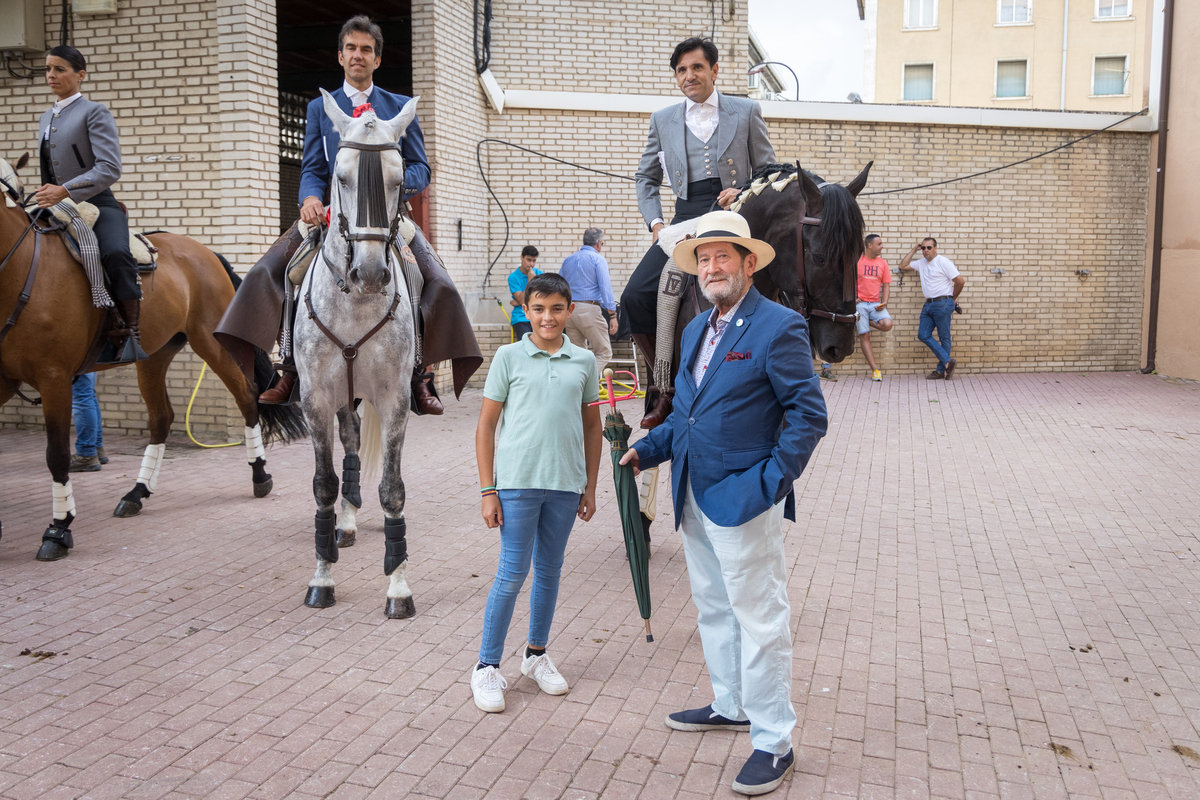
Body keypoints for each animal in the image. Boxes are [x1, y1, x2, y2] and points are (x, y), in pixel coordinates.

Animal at [0, 154, 304, 563]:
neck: (19, 271)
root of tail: (202, 250)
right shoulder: (3, 381)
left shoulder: (54, 378)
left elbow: (57, 455)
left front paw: (58, 529)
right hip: (154, 355)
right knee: (162, 418)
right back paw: (137, 492)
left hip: (211, 344)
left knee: (245, 397)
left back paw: (259, 476)